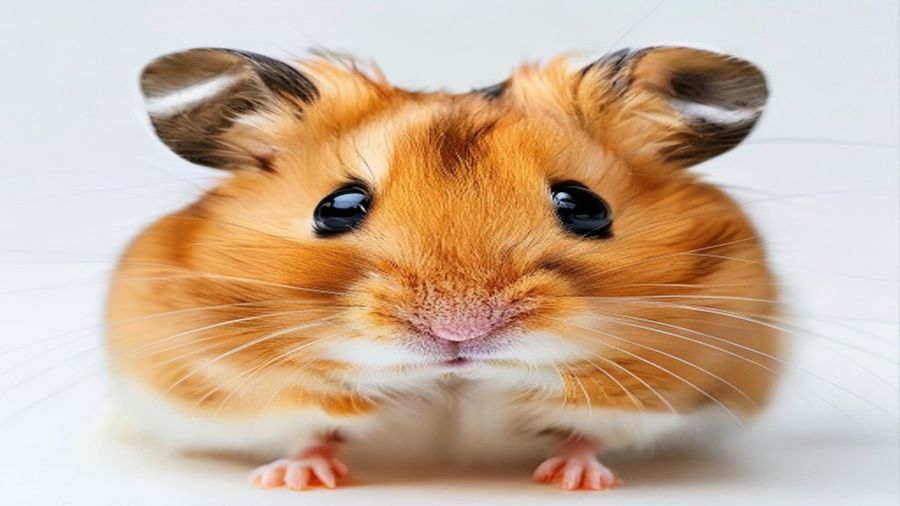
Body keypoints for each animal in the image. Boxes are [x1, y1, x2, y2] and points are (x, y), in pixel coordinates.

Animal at [106, 46, 782, 491]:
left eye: (585, 207)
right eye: (337, 208)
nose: (459, 330)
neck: (458, 384)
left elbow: (594, 433)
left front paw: (572, 479)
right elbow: (306, 429)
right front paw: (296, 479)